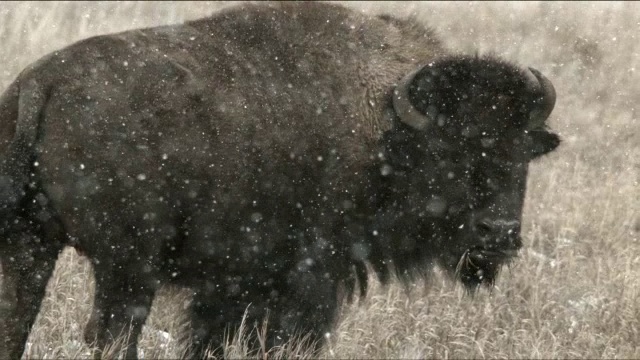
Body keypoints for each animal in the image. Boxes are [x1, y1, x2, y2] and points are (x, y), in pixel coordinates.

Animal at [0, 1, 560, 358]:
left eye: (522, 151)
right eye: (449, 151)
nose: (498, 234)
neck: (387, 127)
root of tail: (38, 84)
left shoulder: (232, 286)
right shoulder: (311, 277)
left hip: (30, 245)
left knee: (17, 320)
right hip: (126, 266)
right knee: (112, 335)